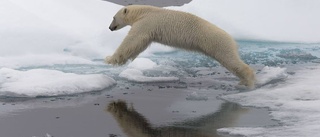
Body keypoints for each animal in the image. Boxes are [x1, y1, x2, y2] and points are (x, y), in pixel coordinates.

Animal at [106, 4, 256, 89]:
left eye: (113, 17)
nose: (110, 28)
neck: (143, 12)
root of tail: (232, 39)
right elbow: (138, 45)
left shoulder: (146, 23)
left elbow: (132, 40)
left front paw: (110, 59)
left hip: (217, 43)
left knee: (231, 60)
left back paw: (247, 81)